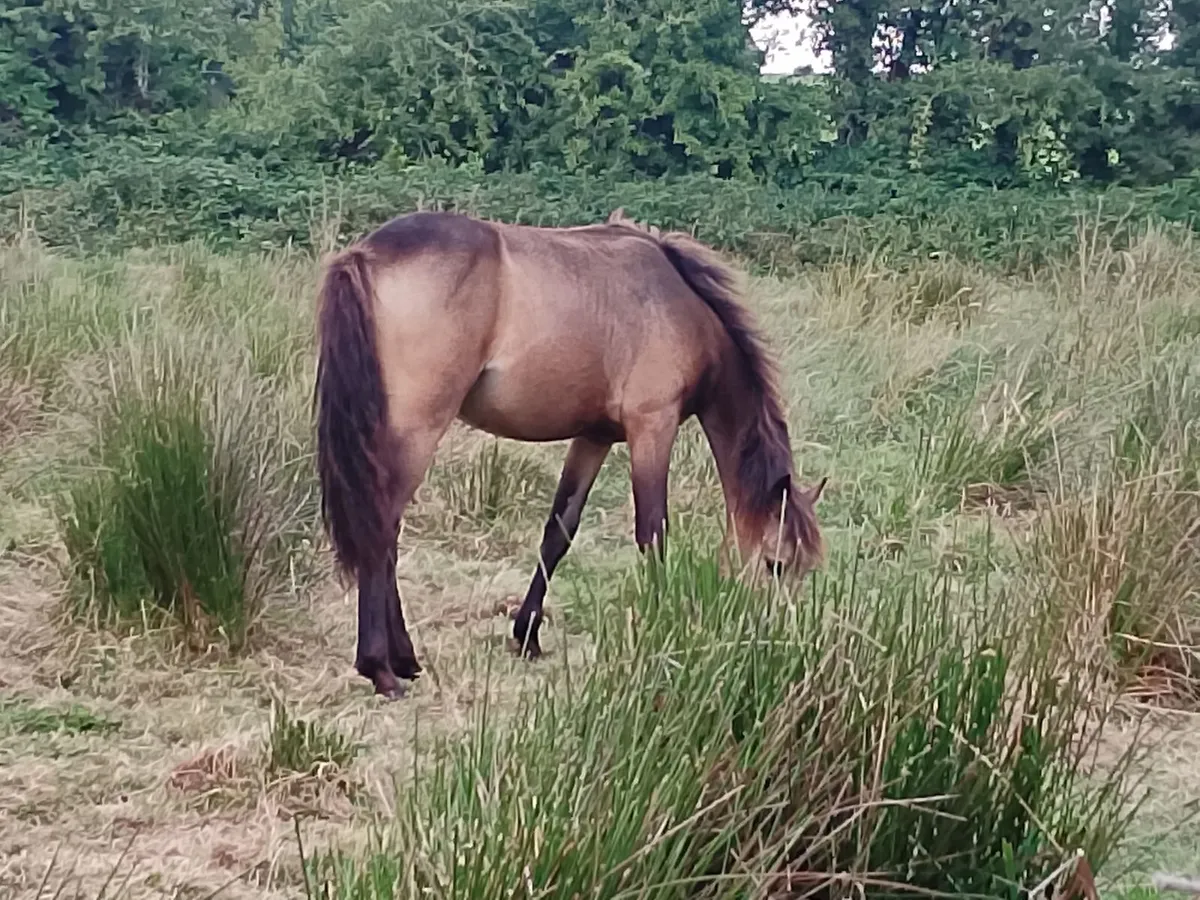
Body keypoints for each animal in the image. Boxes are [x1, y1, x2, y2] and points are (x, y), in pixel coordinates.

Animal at [314, 207, 827, 699]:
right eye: (774, 564)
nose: (778, 642)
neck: (682, 305)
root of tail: (365, 253)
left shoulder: (593, 438)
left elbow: (558, 532)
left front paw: (526, 635)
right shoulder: (652, 427)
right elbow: (652, 532)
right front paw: (662, 629)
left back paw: (404, 659)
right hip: (417, 429)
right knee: (380, 530)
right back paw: (382, 668)